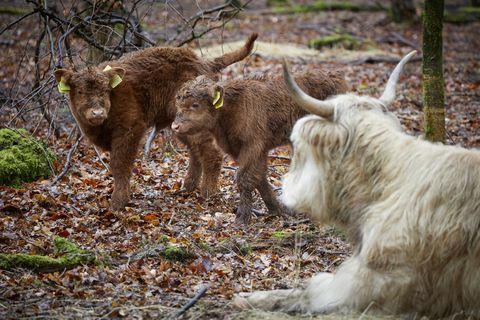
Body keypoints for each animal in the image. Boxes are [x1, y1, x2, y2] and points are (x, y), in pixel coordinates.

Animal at [55, 33, 258, 211]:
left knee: (210, 152)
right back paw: (187, 187)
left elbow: (119, 164)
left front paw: (118, 202)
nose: (97, 112)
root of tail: (203, 62)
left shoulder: (130, 129)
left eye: (106, 90)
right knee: (196, 151)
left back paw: (208, 192)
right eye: (80, 91)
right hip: (181, 125)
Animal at [172, 67, 348, 224]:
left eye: (195, 104)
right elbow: (259, 177)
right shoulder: (247, 150)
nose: (175, 126)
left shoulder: (253, 146)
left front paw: (242, 218)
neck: (231, 109)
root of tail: (335, 77)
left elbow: (244, 178)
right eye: (178, 103)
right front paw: (277, 210)